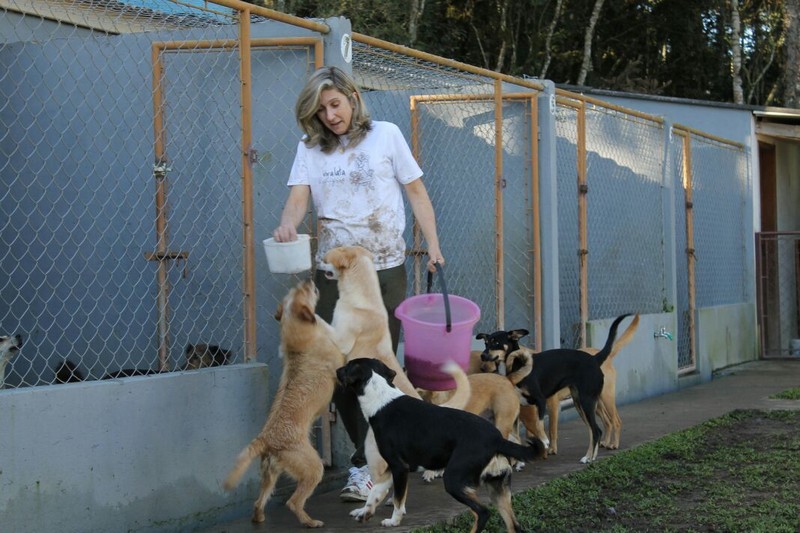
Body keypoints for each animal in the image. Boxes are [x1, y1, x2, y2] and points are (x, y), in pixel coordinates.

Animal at [222, 278, 344, 528]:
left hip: (269, 476)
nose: (308, 279)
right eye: (304, 290)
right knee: (293, 502)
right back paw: (310, 522)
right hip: (314, 468)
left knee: (258, 502)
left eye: (296, 289)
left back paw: (259, 518)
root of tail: (266, 439)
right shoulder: (340, 362)